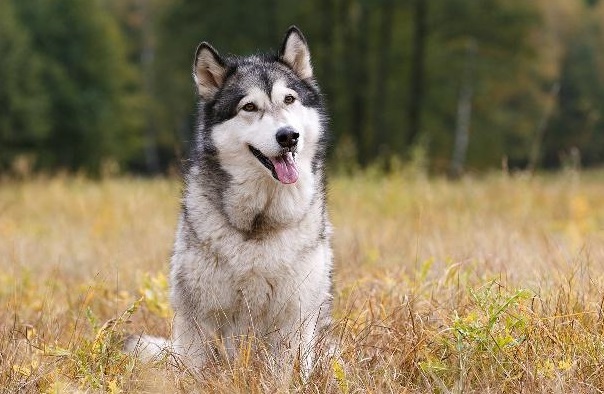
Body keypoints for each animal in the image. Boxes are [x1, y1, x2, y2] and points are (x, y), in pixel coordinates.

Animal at [127, 25, 332, 376]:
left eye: (289, 99)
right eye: (249, 107)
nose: (288, 136)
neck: (260, 224)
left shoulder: (296, 315)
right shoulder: (200, 318)